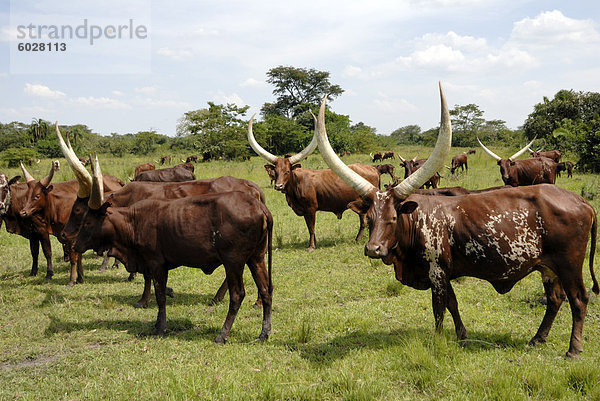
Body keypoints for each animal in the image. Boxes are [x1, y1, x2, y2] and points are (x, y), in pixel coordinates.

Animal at [72, 155, 274, 340]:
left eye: (87, 221)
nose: (74, 245)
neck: (134, 220)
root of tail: (258, 205)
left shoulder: (155, 263)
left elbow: (160, 295)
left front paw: (160, 326)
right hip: (256, 258)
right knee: (266, 289)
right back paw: (263, 333)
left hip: (233, 261)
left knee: (237, 294)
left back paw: (222, 334)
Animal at [316, 83, 596, 358]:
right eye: (370, 217)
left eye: (394, 217)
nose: (373, 249)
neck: (418, 220)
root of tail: (583, 202)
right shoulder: (444, 273)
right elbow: (453, 303)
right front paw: (462, 336)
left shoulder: (437, 271)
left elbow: (439, 308)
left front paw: (438, 341)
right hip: (548, 267)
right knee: (555, 298)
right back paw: (537, 338)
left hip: (570, 264)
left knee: (578, 298)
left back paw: (573, 349)